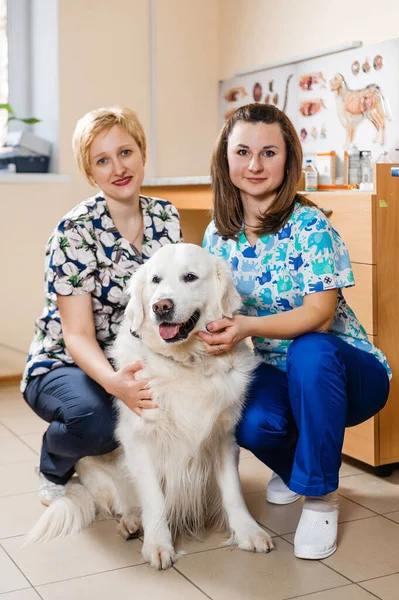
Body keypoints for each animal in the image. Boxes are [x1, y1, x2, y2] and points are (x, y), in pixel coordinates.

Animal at [25, 243, 276, 568]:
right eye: (155, 280)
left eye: (190, 277)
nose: (161, 307)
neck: (187, 362)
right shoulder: (140, 440)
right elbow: (154, 498)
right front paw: (158, 544)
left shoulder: (224, 435)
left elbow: (233, 491)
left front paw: (248, 532)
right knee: (126, 500)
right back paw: (131, 522)